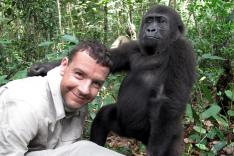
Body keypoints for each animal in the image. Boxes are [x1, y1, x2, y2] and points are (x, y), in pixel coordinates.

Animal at [27, 4, 196, 156]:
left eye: (161, 21)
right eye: (149, 21)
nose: (150, 30)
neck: (157, 50)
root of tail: (135, 137)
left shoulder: (183, 50)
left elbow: (169, 100)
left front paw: (156, 151)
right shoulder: (134, 47)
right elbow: (110, 59)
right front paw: (43, 68)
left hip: (168, 133)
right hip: (122, 126)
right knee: (103, 117)